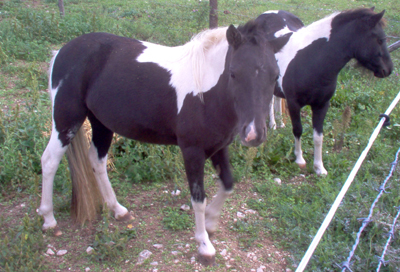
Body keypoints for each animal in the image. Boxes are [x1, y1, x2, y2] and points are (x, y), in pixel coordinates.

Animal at [37, 21, 290, 266]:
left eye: (274, 76)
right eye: (234, 73)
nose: (254, 134)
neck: (205, 91)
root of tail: (62, 51)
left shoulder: (219, 147)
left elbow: (228, 184)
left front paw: (211, 222)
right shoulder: (192, 151)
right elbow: (198, 199)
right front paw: (204, 246)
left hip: (101, 124)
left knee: (97, 161)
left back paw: (118, 210)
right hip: (66, 121)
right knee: (49, 161)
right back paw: (49, 220)